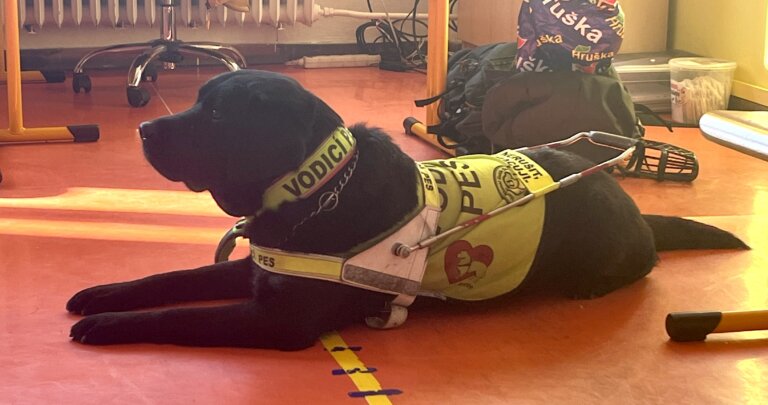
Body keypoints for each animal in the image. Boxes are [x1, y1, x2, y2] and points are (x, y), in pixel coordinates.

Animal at [67, 70, 747, 350]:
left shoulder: (277, 321)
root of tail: (621, 190)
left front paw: (106, 326)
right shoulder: (262, 268)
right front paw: (103, 295)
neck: (318, 189)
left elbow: (181, 314)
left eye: (215, 116)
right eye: (198, 103)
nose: (144, 129)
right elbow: (172, 278)